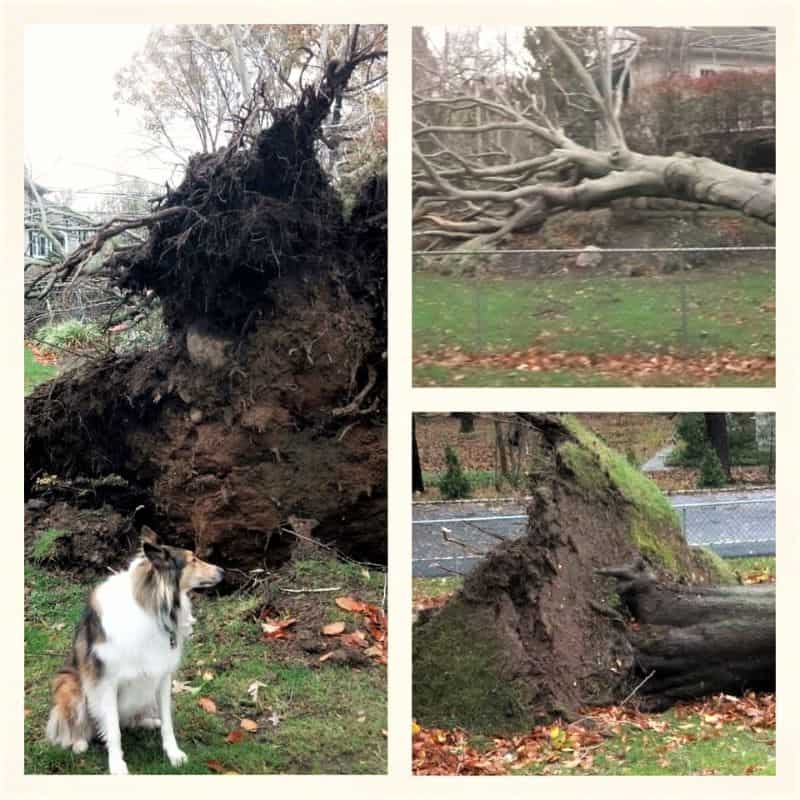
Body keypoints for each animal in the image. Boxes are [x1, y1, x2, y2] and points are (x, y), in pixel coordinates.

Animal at [45, 524, 223, 776]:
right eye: (193, 560)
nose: (223, 571)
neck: (151, 608)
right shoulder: (106, 683)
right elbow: (113, 730)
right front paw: (117, 764)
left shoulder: (162, 676)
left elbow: (168, 722)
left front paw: (173, 753)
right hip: (69, 684)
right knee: (79, 724)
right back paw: (78, 742)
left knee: (130, 720)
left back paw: (148, 722)